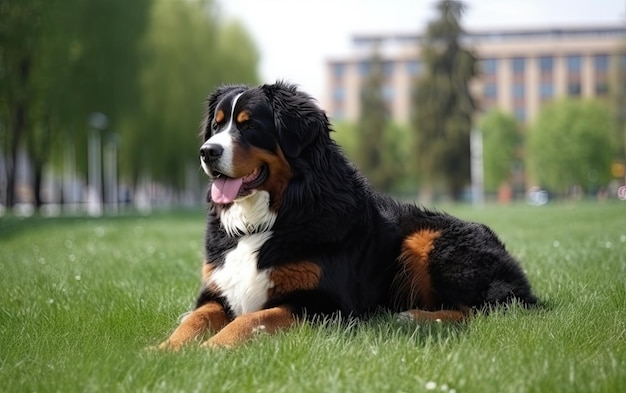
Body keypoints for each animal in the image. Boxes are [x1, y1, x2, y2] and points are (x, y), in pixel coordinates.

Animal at [157, 81, 536, 348]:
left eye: (249, 126)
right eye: (216, 126)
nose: (207, 152)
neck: (271, 216)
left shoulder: (325, 304)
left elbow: (251, 320)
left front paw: (210, 350)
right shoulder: (217, 291)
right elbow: (194, 320)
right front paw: (162, 351)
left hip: (427, 238)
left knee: (481, 309)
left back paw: (412, 316)